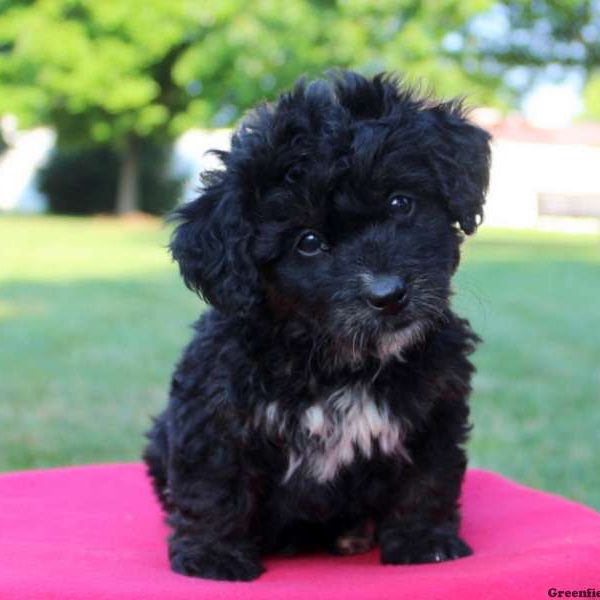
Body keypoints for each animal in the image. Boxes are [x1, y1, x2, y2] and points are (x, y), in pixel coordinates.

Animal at [145, 71, 492, 580]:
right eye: (307, 242)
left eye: (400, 202)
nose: (388, 294)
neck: (339, 361)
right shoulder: (214, 412)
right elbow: (213, 485)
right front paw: (213, 556)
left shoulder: (436, 407)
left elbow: (427, 479)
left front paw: (424, 542)